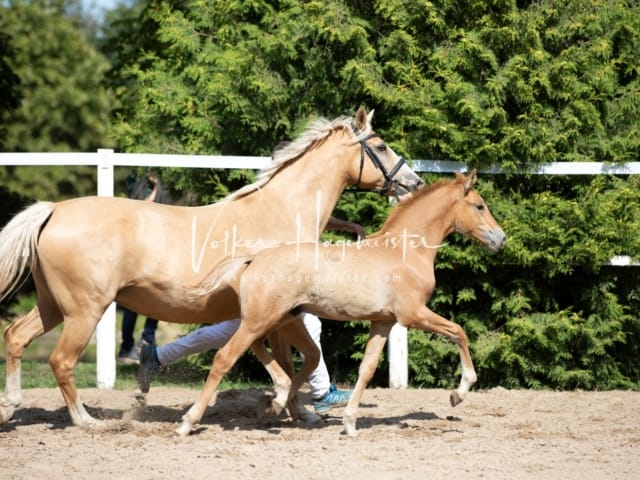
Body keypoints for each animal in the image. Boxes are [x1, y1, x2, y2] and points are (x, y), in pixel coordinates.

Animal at [0, 108, 424, 428]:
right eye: (381, 146)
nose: (414, 182)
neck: (279, 211)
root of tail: (53, 210)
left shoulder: (273, 313)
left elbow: (287, 358)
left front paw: (295, 410)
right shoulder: (280, 312)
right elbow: (292, 359)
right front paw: (287, 405)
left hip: (53, 305)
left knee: (16, 337)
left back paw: (11, 407)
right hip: (85, 310)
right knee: (61, 361)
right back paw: (86, 420)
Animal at [181, 171, 504, 436]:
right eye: (479, 206)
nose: (500, 239)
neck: (404, 251)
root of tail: (253, 258)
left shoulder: (383, 321)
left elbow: (367, 368)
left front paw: (349, 423)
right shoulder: (413, 314)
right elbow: (459, 331)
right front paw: (458, 394)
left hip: (275, 319)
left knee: (273, 352)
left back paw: (277, 400)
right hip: (260, 319)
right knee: (225, 357)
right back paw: (189, 422)